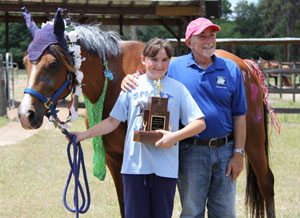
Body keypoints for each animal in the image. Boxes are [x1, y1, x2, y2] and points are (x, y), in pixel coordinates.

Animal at [18, 8, 278, 218]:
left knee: (266, 182)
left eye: (53, 64)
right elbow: (126, 206)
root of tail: (246, 66)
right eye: (26, 61)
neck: (113, 83)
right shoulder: (115, 161)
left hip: (253, 142)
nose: (25, 114)